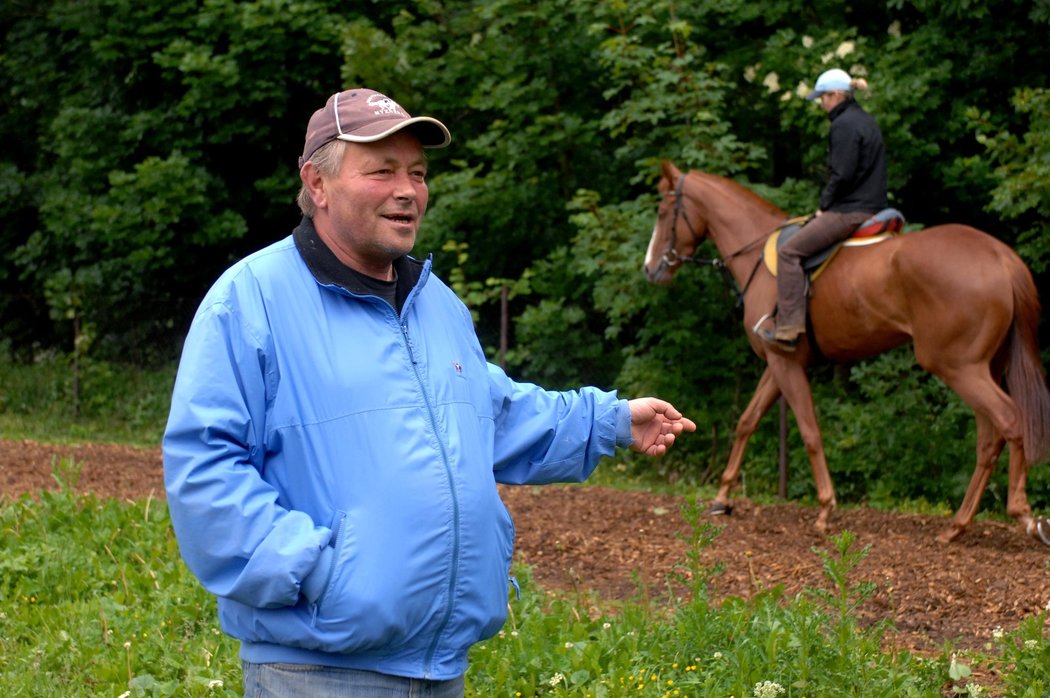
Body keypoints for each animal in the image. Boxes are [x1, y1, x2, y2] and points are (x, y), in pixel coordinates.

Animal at [646, 160, 1050, 541]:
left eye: (664, 212)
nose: (651, 269)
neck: (758, 257)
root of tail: (1000, 256)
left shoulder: (785, 364)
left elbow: (809, 431)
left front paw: (826, 509)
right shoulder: (779, 364)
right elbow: (747, 421)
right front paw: (721, 497)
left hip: (959, 367)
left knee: (1010, 422)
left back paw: (1021, 513)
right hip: (982, 369)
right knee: (990, 438)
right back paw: (958, 525)